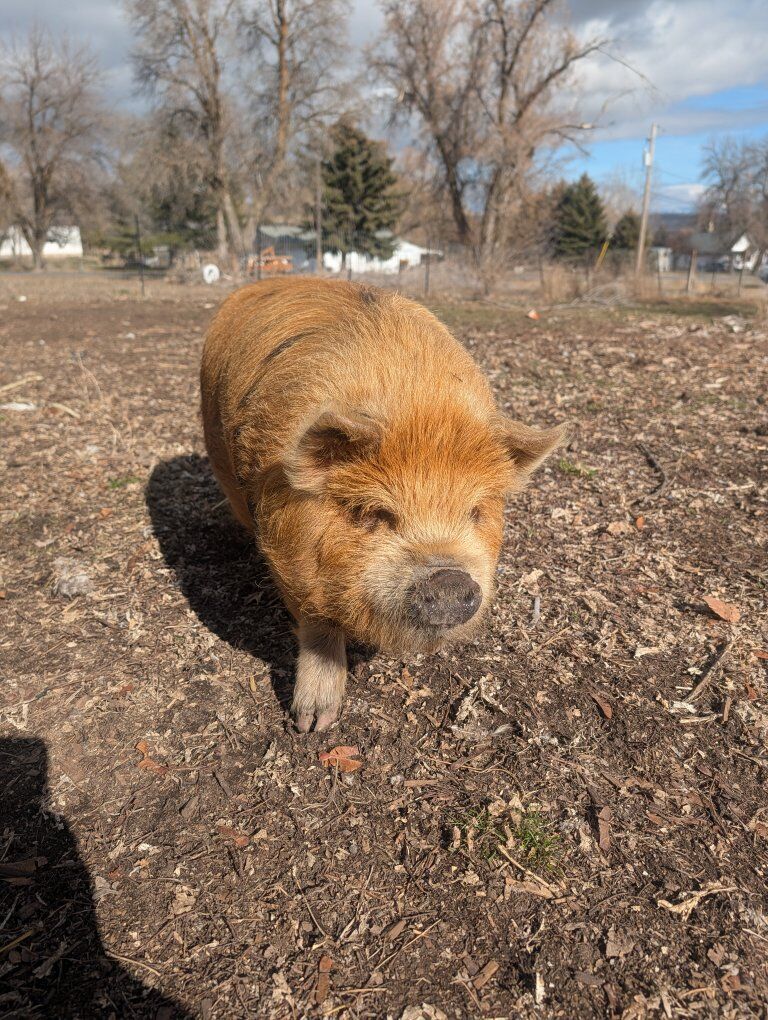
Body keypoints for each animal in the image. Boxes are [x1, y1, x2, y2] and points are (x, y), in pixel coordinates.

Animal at [201, 278, 565, 732]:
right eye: (375, 513)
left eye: (474, 512)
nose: (449, 578)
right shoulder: (289, 552)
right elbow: (318, 627)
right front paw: (312, 725)